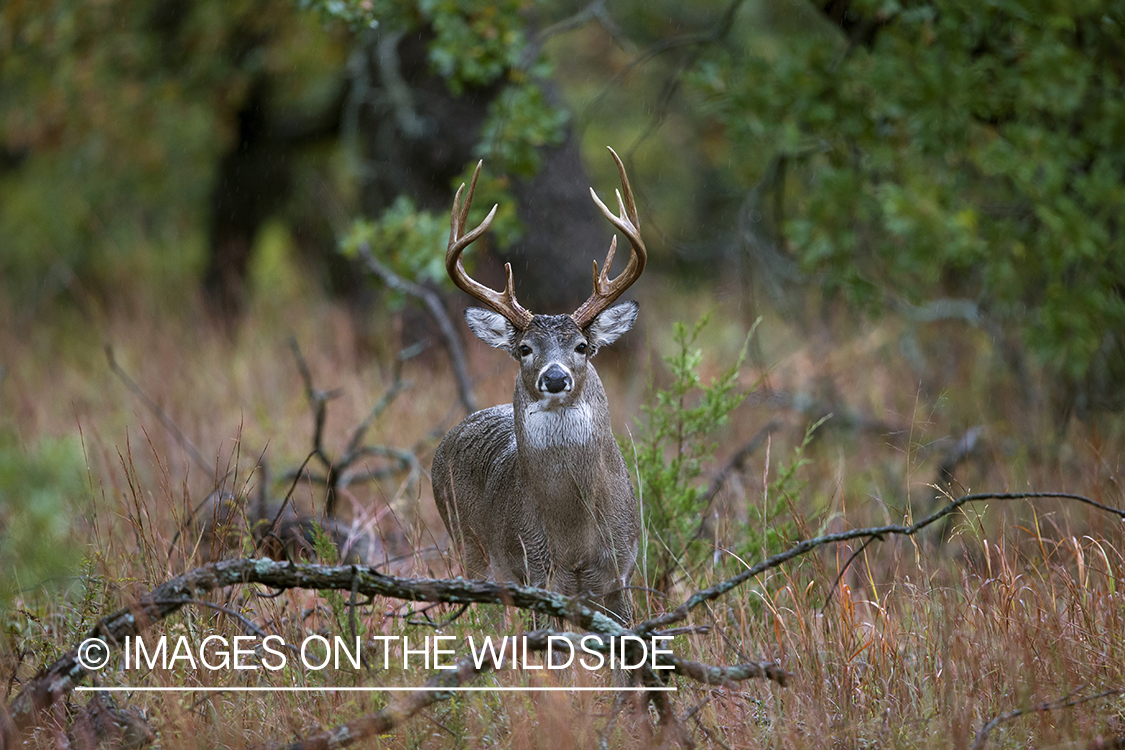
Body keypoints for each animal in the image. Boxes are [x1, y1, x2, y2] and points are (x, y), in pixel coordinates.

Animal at [432, 146, 648, 629]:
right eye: (525, 348)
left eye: (583, 346)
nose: (554, 377)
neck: (574, 536)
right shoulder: (535, 567)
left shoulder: (621, 570)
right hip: (469, 545)